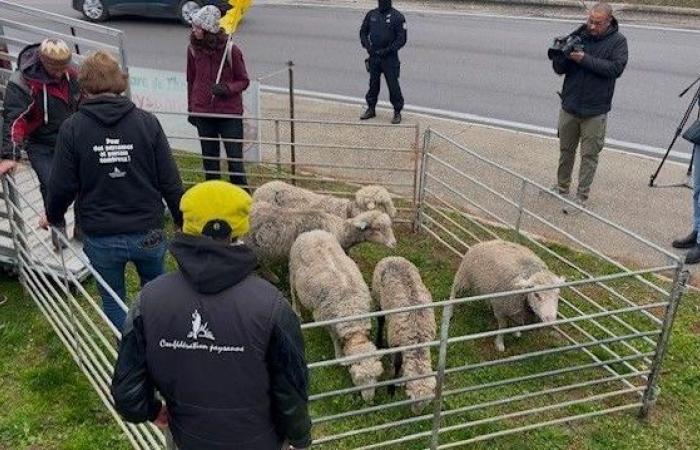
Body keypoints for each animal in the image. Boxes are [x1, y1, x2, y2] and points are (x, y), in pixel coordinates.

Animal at [288, 230, 382, 402]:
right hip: (292, 269)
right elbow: (335, 339)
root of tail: (311, 232)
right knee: (293, 291)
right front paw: (339, 356)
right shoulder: (328, 321)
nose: (369, 400)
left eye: (376, 377)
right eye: (358, 379)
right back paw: (296, 311)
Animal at [372, 256, 438, 414]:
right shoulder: (397, 343)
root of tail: (392, 257)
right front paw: (391, 389)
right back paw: (379, 341)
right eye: (411, 398)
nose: (416, 414)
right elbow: (397, 364)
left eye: (426, 403)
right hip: (377, 296)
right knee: (381, 319)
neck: (418, 339)